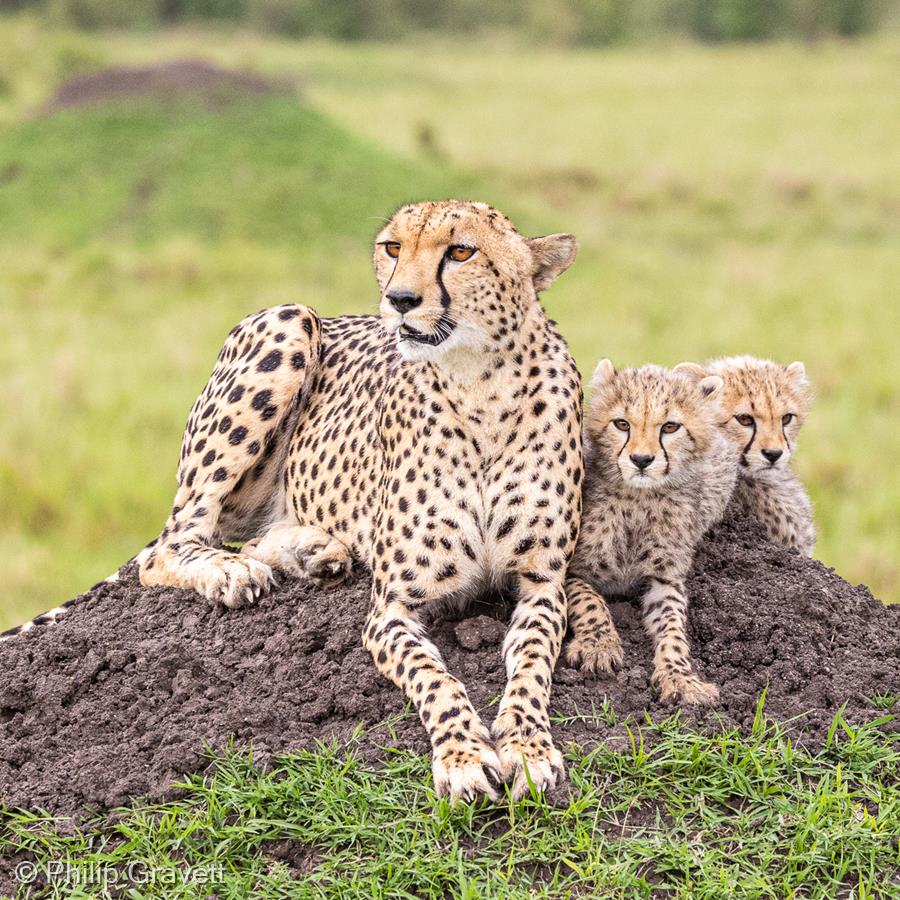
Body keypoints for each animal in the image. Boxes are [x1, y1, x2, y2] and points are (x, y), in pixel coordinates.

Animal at [136, 202, 580, 800]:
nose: (400, 300)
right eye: (392, 247)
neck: (479, 386)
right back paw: (231, 574)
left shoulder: (542, 585)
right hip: (290, 320)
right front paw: (464, 757)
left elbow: (531, 666)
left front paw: (527, 748)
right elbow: (436, 680)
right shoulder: (392, 608)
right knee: (168, 544)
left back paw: (312, 552)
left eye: (461, 251)